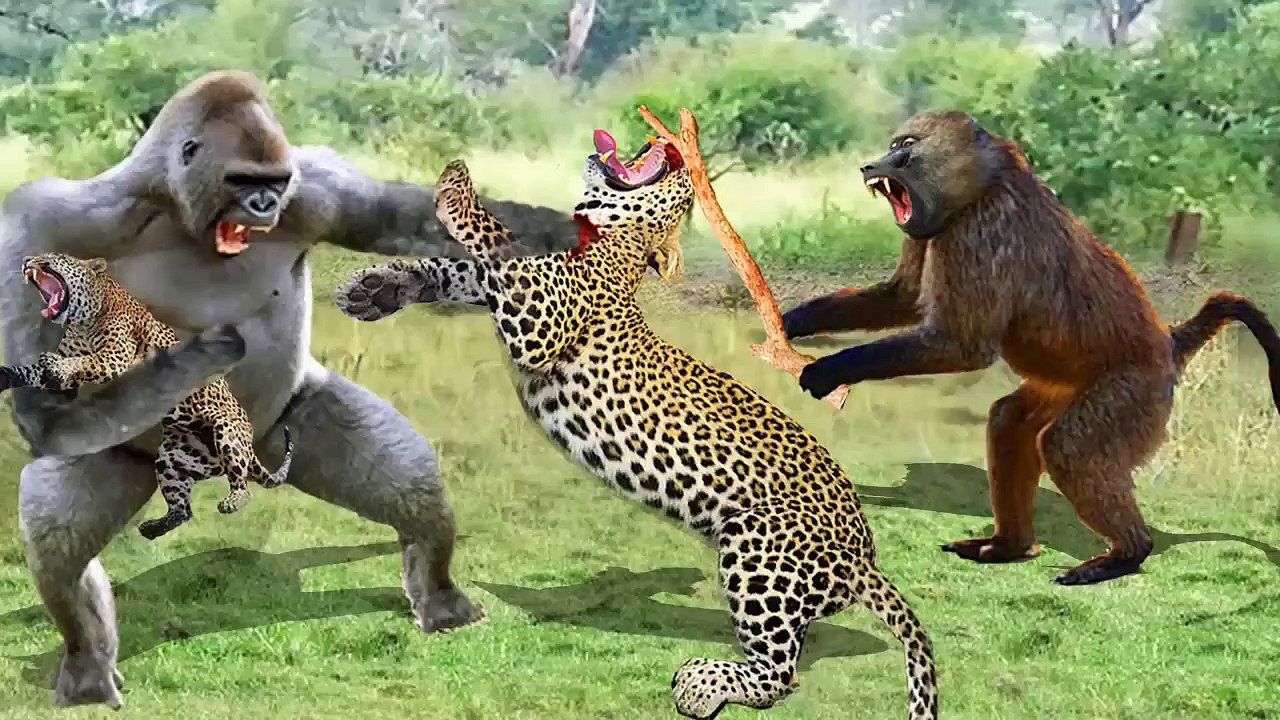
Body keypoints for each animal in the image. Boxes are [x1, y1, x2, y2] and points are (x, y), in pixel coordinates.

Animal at [0, 252, 294, 540]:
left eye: (51, 257)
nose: (26, 260)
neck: (82, 320)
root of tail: (249, 443)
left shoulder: (114, 356)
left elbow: (82, 361)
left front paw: (56, 366)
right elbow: (31, 371)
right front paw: (7, 374)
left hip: (227, 432)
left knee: (242, 485)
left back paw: (232, 500)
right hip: (172, 459)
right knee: (183, 510)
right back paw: (152, 529)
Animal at [334, 132, 939, 720]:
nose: (678, 153)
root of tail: (864, 560)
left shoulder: (541, 317)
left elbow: (493, 242)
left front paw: (456, 187)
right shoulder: (519, 286)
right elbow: (462, 268)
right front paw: (375, 288)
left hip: (757, 549)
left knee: (779, 674)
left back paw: (699, 686)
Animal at [782, 110, 1280, 587]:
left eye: (905, 147)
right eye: (892, 146)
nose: (870, 165)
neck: (986, 183)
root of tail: (1168, 341)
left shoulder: (981, 233)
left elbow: (964, 347)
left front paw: (827, 370)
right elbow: (901, 298)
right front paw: (789, 322)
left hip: (1132, 390)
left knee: (1069, 446)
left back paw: (1124, 554)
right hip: (1063, 384)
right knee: (1009, 422)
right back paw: (1010, 547)